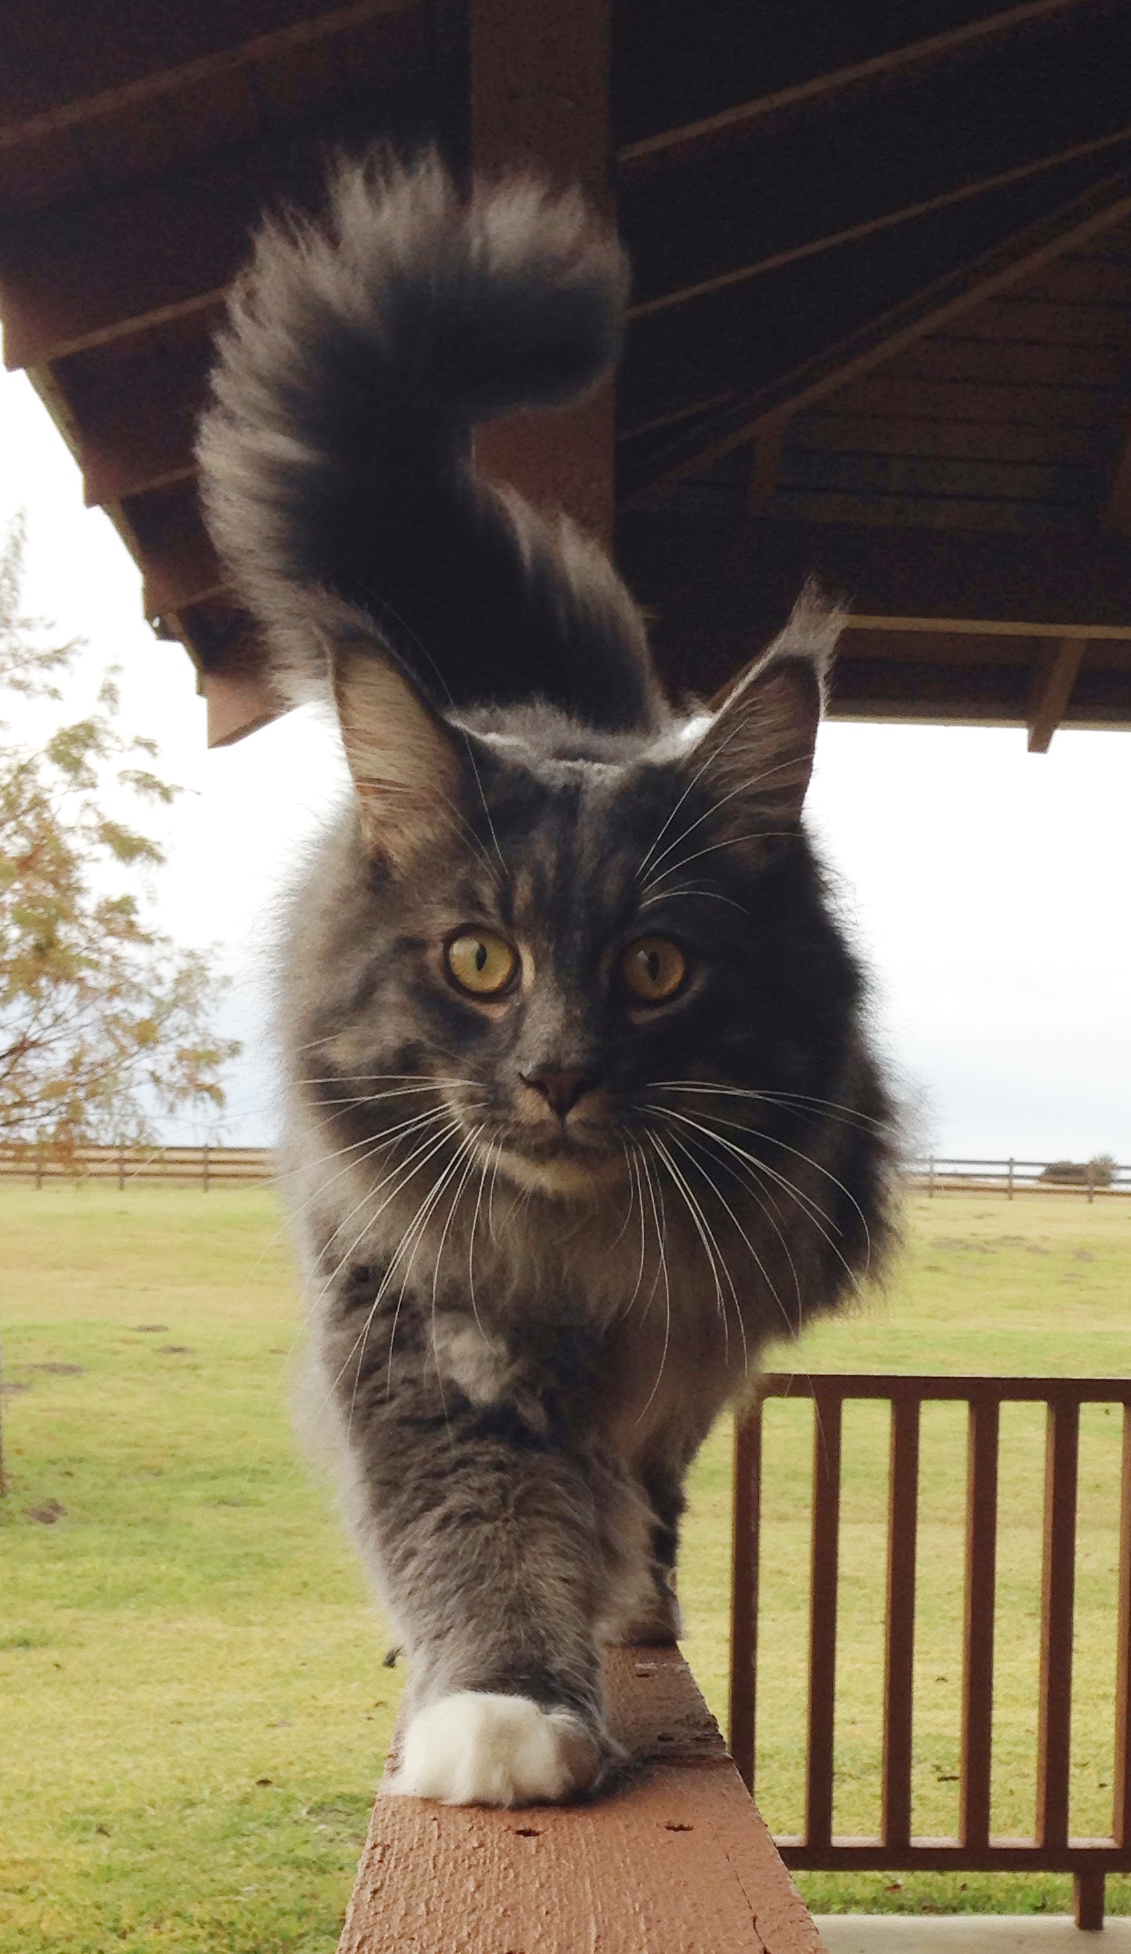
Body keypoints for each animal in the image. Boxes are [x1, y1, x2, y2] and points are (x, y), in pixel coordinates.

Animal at [199, 152, 898, 1813]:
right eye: (478, 958)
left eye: (653, 967)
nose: (558, 1072)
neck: (568, 1254)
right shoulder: (418, 1328)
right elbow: (476, 1523)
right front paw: (499, 1709)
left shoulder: (687, 1326)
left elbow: (617, 1486)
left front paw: (590, 1636)